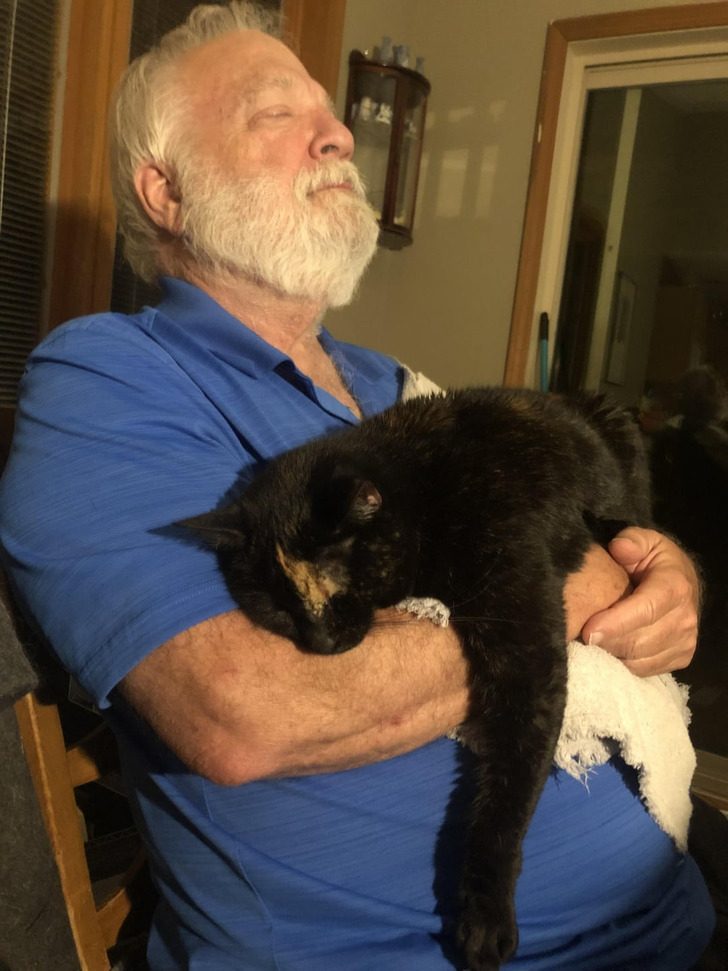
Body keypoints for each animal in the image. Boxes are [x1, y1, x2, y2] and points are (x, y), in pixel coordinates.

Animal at [180, 386, 652, 971]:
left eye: (340, 587)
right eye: (277, 608)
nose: (321, 642)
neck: (424, 494)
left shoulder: (525, 636)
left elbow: (512, 781)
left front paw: (485, 914)